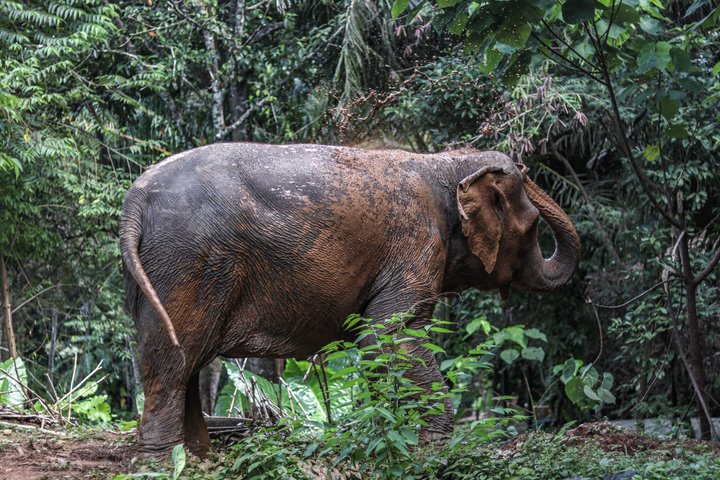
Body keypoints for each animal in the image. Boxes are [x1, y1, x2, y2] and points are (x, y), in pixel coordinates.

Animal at [120, 143, 580, 456]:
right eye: (533, 225)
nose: (524, 163)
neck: (445, 162)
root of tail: (135, 198)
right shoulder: (416, 241)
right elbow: (388, 334)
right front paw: (434, 446)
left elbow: (380, 344)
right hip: (187, 262)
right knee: (173, 363)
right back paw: (163, 463)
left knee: (182, 362)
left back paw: (200, 457)